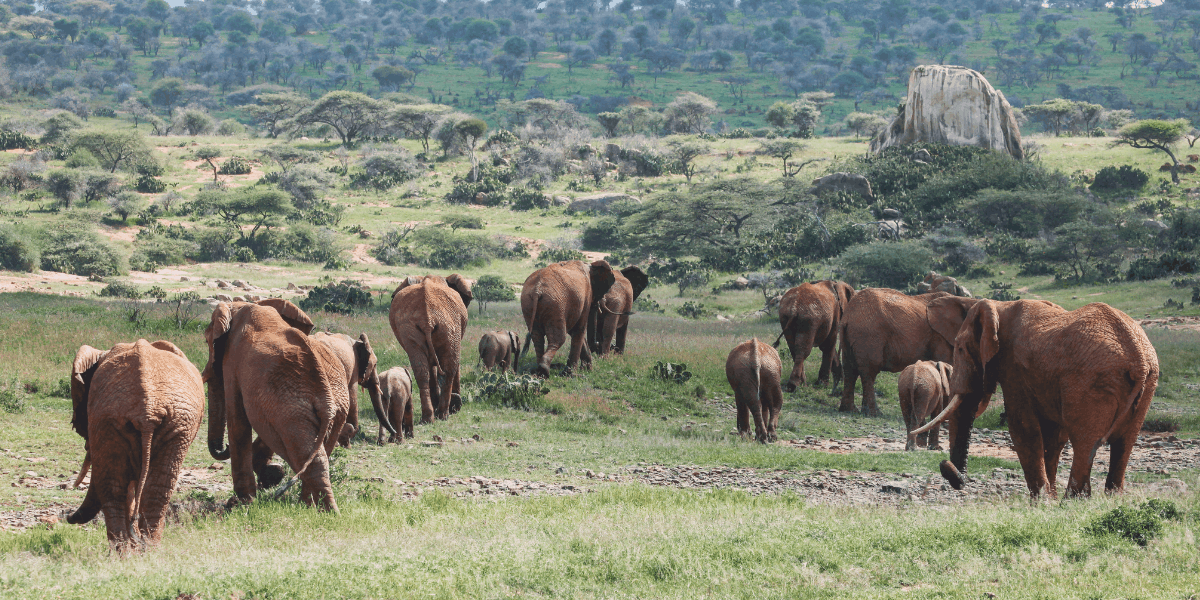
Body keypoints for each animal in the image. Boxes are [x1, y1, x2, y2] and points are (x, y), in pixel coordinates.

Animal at [67, 340, 203, 550]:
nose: (66, 516)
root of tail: (148, 411)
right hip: (161, 421)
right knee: (155, 489)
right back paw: (145, 550)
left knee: (114, 489)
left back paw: (126, 552)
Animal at [204, 298, 350, 512]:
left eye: (207, 341)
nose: (224, 447)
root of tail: (328, 400)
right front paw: (270, 476)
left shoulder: (232, 363)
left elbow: (238, 421)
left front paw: (242, 503)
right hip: (332, 408)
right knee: (312, 453)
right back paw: (312, 508)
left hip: (292, 407)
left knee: (303, 450)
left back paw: (321, 510)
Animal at [389, 274, 473, 423]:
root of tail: (426, 318)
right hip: (450, 325)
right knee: (449, 368)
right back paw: (444, 414)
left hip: (417, 327)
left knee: (421, 370)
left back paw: (429, 418)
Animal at [839, 289, 980, 416]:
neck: (964, 300)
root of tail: (848, 315)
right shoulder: (940, 337)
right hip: (869, 335)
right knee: (869, 371)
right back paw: (874, 414)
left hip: (850, 335)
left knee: (849, 369)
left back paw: (849, 410)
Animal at [910, 300, 1159, 498]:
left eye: (960, 349)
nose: (946, 466)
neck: (1000, 307)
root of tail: (1139, 358)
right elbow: (1053, 437)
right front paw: (1049, 498)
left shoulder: (1014, 369)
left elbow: (1023, 429)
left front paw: (1040, 502)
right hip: (1147, 384)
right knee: (1124, 443)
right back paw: (1109, 499)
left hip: (1093, 383)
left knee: (1085, 442)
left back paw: (1072, 502)